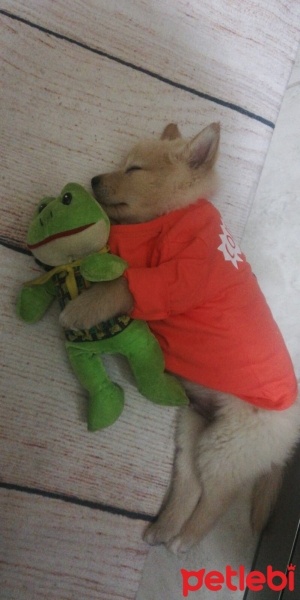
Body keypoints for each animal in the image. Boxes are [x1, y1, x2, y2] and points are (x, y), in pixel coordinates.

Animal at [59, 123, 298, 552]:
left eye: (134, 168)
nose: (94, 180)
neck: (175, 216)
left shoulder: (179, 280)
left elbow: (123, 284)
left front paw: (83, 308)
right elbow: (120, 264)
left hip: (228, 445)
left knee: (219, 497)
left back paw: (186, 539)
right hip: (193, 425)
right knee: (190, 485)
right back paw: (164, 528)